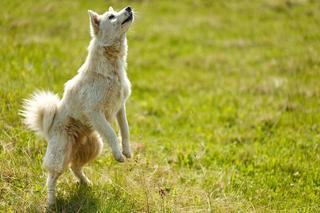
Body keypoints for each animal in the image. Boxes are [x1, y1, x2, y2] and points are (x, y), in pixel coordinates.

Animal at [21, 6, 134, 205]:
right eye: (111, 16)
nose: (128, 8)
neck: (111, 68)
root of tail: (48, 129)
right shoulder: (95, 111)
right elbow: (112, 133)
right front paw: (118, 155)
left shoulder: (120, 107)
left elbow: (125, 130)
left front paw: (126, 152)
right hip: (60, 155)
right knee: (52, 177)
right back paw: (51, 202)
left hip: (94, 146)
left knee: (75, 167)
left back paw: (86, 183)